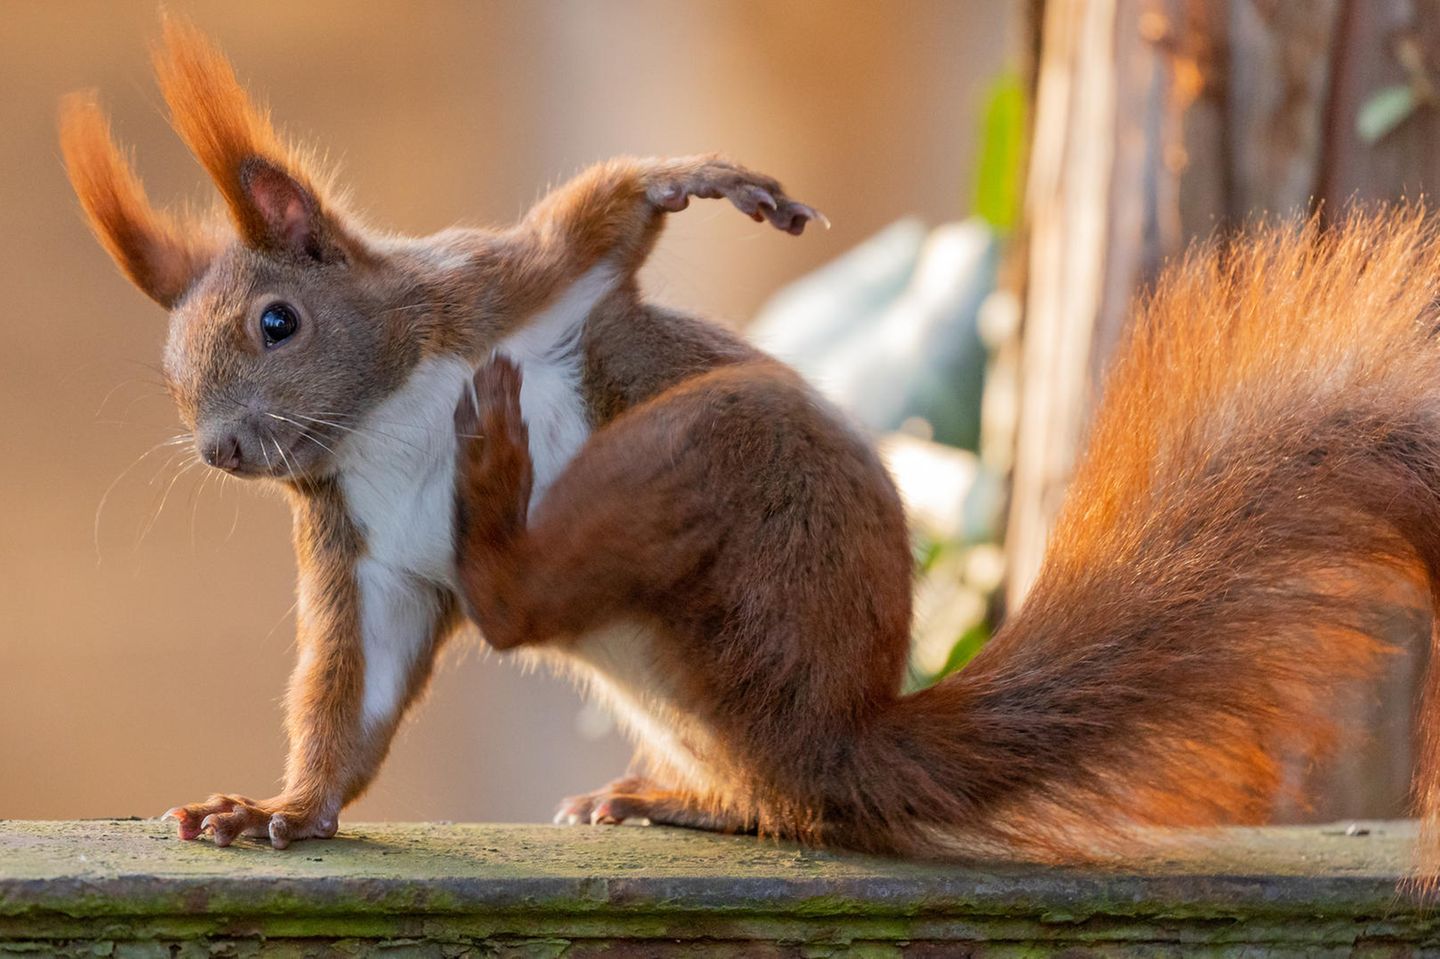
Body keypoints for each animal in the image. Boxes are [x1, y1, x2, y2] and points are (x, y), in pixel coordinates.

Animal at [61, 16, 1440, 863]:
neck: (386, 411)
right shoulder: (370, 550)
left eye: (278, 322)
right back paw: (667, 790)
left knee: (543, 605)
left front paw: (708, 180)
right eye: (176, 378)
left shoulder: (505, 287)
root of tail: (846, 722)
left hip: (724, 459)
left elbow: (604, 216)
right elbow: (350, 698)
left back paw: (499, 482)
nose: (224, 451)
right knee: (773, 793)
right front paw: (278, 808)